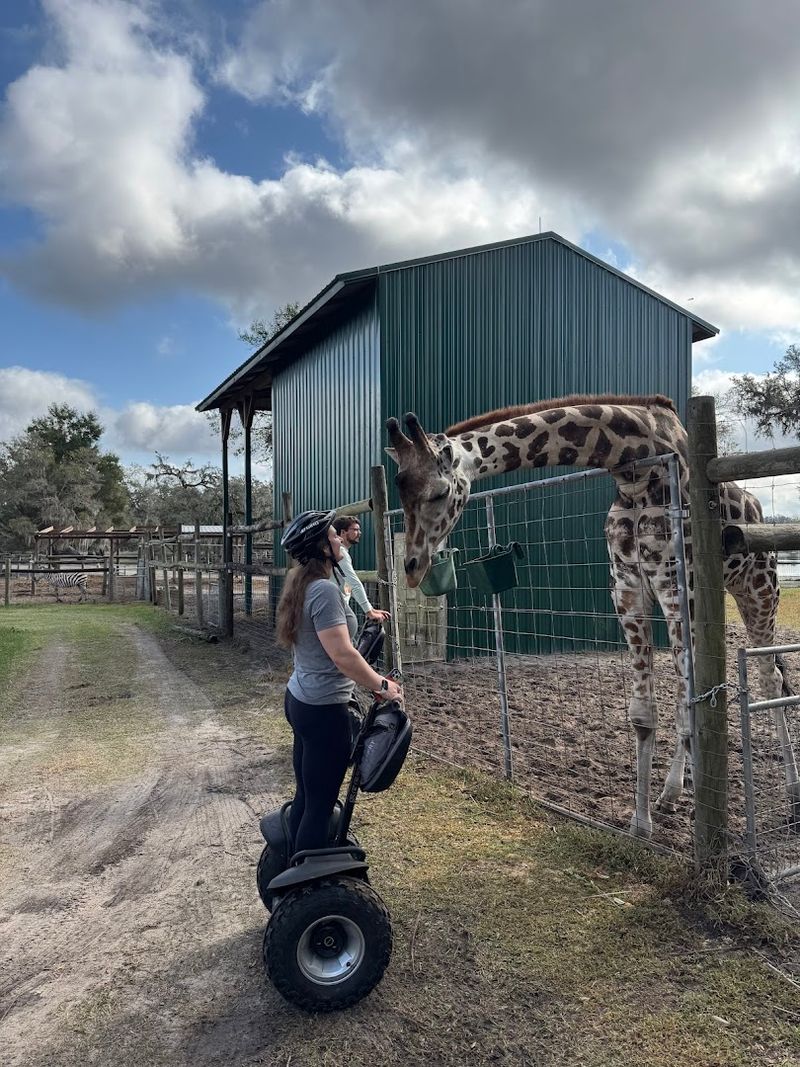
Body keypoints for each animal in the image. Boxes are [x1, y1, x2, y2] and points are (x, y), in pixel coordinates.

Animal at [386, 393, 800, 838]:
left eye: (438, 493)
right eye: (400, 493)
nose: (411, 566)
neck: (634, 467)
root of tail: (758, 509)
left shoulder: (677, 584)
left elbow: (690, 702)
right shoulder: (627, 586)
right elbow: (644, 713)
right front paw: (641, 823)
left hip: (759, 589)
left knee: (770, 680)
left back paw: (790, 793)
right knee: (687, 691)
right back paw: (674, 789)